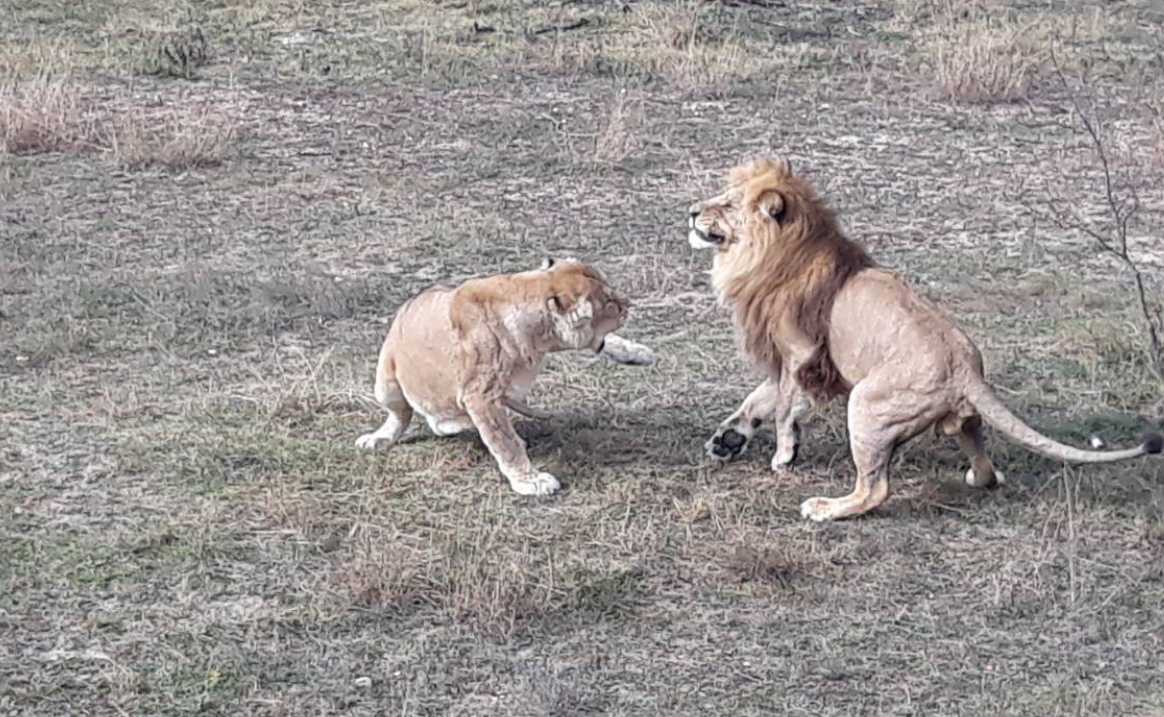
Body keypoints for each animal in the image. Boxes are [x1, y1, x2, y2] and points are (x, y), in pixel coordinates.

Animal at [356, 259, 656, 498]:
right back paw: (379, 438)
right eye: (611, 303)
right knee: (407, 416)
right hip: (386, 384)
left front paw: (640, 352)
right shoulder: (480, 396)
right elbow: (504, 442)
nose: (628, 304)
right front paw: (531, 482)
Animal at [689, 155, 1164, 521]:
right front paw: (728, 440)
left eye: (726, 203)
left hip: (866, 404)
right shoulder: (804, 364)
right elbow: (758, 399)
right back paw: (982, 477)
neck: (776, 253)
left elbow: (785, 408)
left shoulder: (801, 355)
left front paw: (784, 456)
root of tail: (967, 368)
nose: (692, 212)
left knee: (875, 489)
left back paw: (825, 508)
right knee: (981, 463)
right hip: (960, 419)